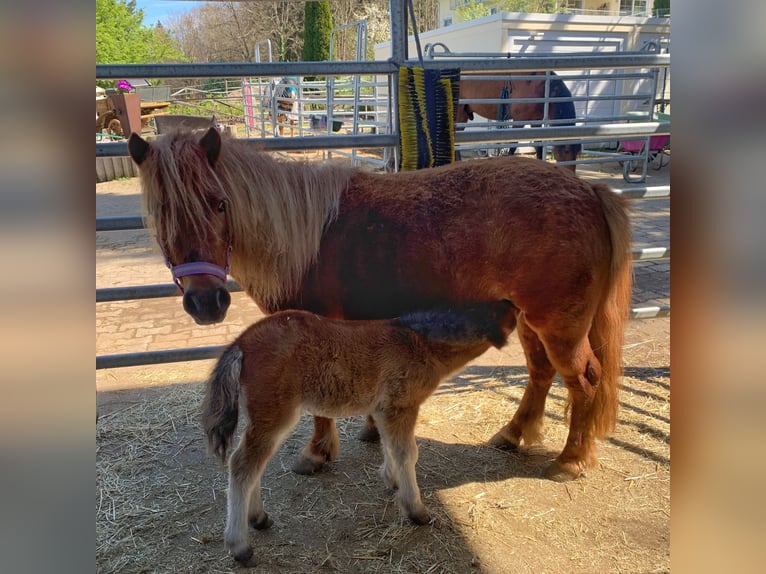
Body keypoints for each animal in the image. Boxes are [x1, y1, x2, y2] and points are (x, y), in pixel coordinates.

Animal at [204, 304, 516, 564]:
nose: (518, 312)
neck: (417, 342)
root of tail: (241, 341)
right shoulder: (401, 406)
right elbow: (408, 453)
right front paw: (415, 509)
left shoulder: (383, 410)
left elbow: (391, 447)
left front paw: (391, 480)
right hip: (275, 414)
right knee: (243, 465)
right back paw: (240, 546)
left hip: (264, 417)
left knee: (253, 464)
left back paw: (258, 518)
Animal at [456, 71, 584, 173]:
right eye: (566, 150)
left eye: (577, 151)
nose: (571, 173)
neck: (543, 88)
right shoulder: (519, 120)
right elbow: (513, 145)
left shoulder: (536, 122)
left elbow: (538, 147)